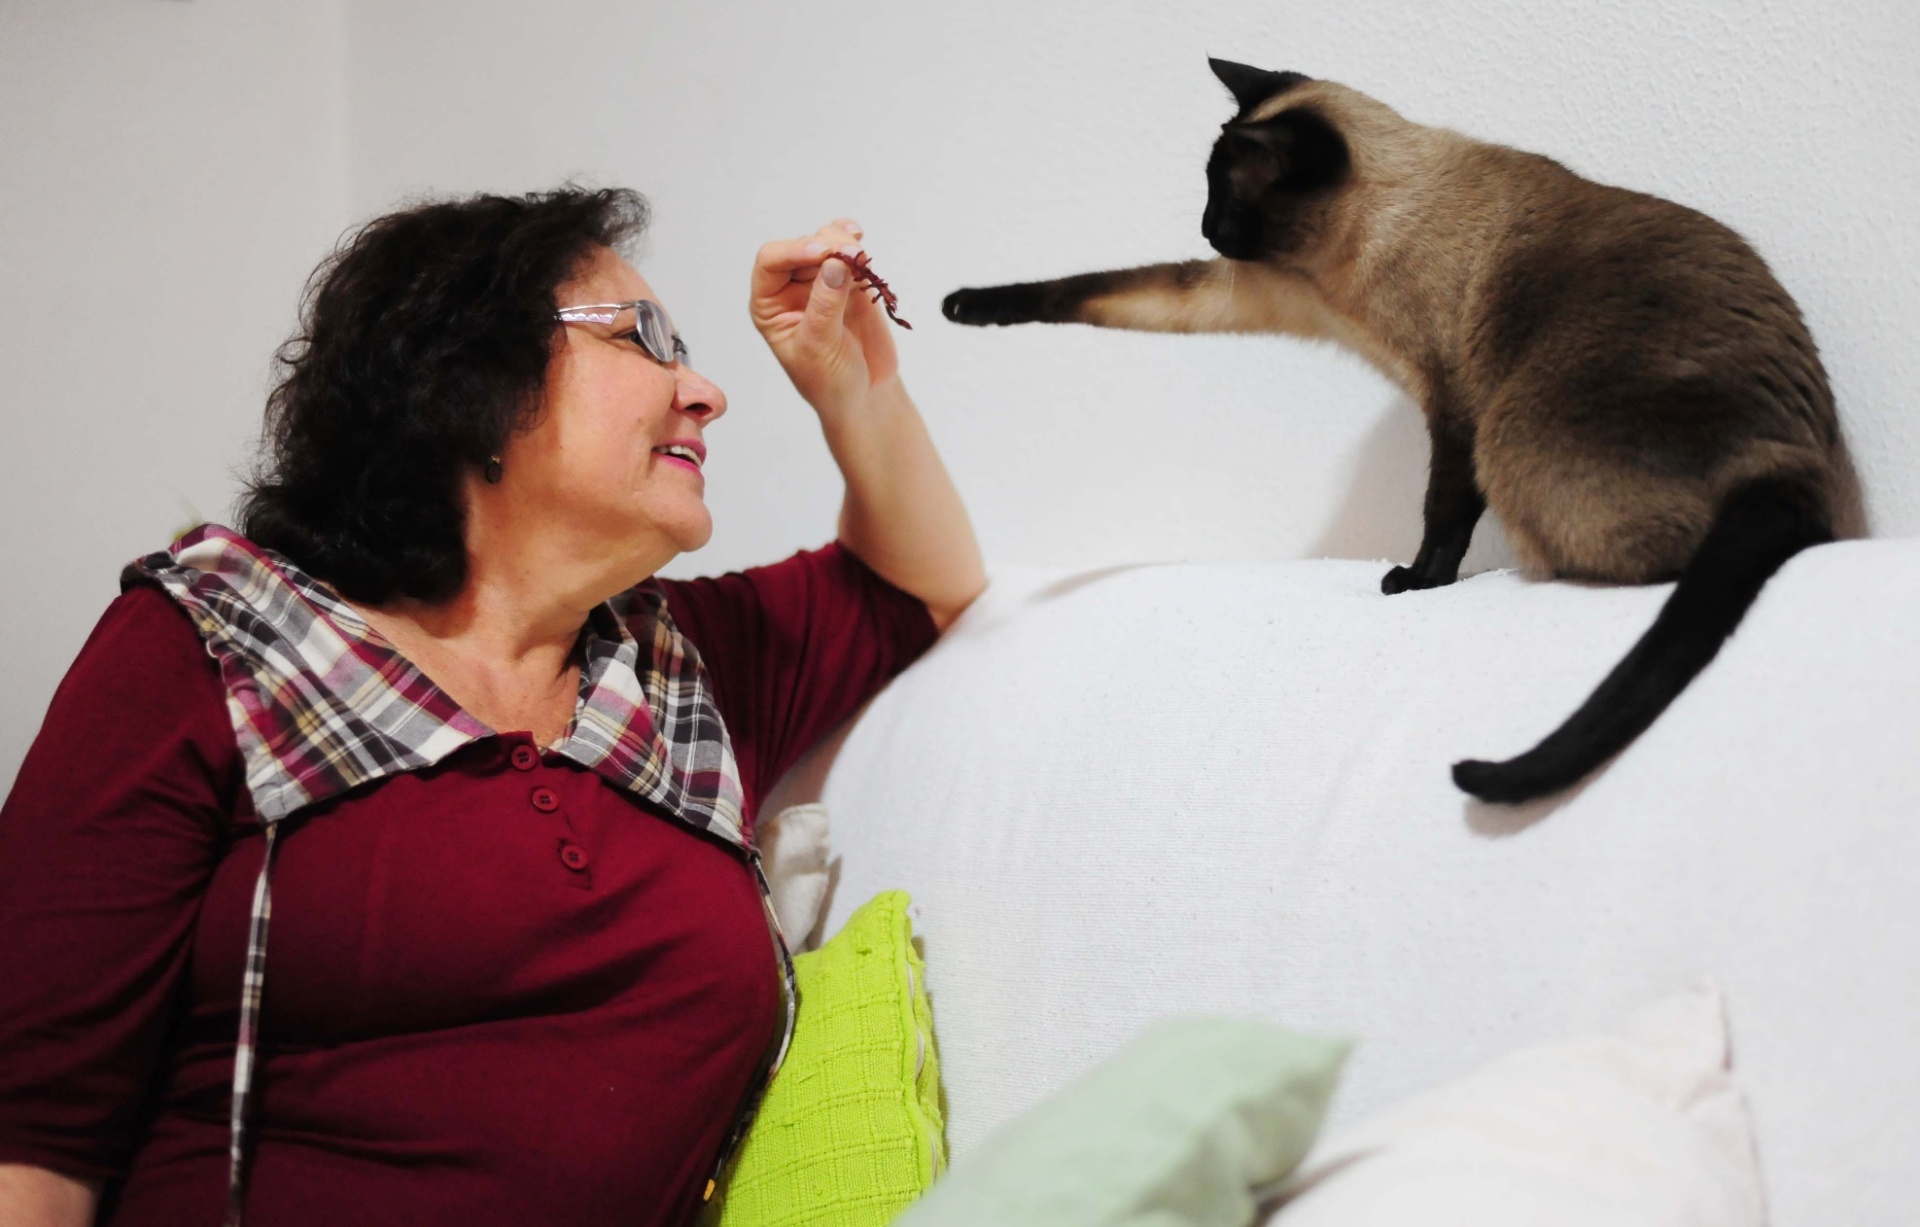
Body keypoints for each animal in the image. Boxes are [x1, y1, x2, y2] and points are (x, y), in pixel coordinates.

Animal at [942, 58, 1841, 805]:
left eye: (1226, 196)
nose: (1204, 229)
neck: (1344, 267)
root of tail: (1782, 460)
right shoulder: (1237, 292)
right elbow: (1088, 288)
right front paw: (962, 306)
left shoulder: (1453, 403)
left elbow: (1442, 511)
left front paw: (1416, 582)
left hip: (1511, 433)